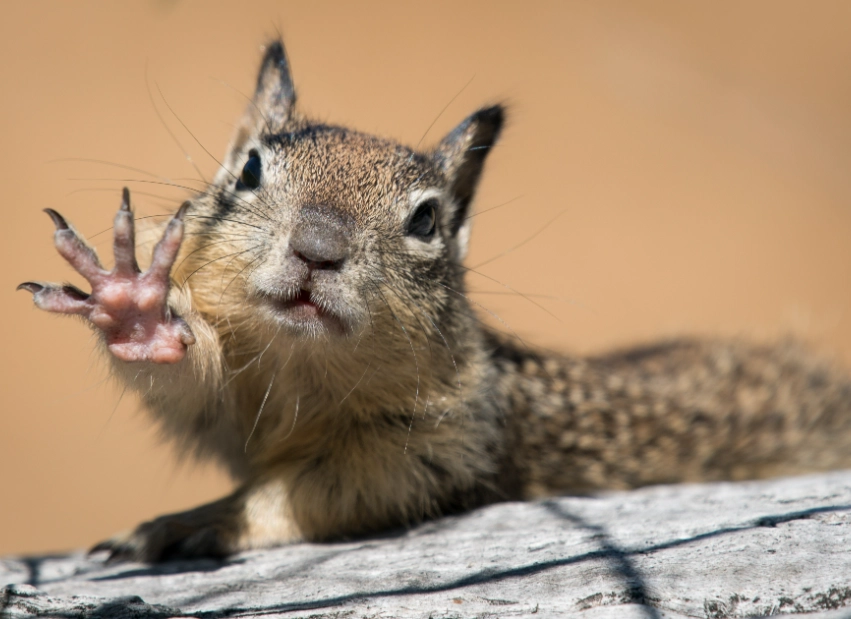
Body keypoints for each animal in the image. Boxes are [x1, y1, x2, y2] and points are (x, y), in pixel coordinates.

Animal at [18, 40, 851, 563]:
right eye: (249, 170)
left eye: (425, 220)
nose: (318, 246)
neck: (299, 370)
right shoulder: (235, 409)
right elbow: (195, 388)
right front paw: (137, 308)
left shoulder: (442, 445)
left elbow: (313, 492)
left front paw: (200, 519)